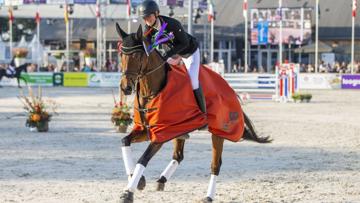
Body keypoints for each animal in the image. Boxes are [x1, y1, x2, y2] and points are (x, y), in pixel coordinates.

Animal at [115, 24, 270, 203]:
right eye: (121, 55)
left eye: (138, 55)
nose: (126, 88)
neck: (152, 91)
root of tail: (229, 89)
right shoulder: (147, 130)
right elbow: (124, 141)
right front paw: (138, 180)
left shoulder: (160, 134)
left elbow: (143, 159)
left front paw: (128, 192)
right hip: (180, 130)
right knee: (178, 156)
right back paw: (162, 180)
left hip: (218, 132)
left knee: (215, 165)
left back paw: (208, 196)